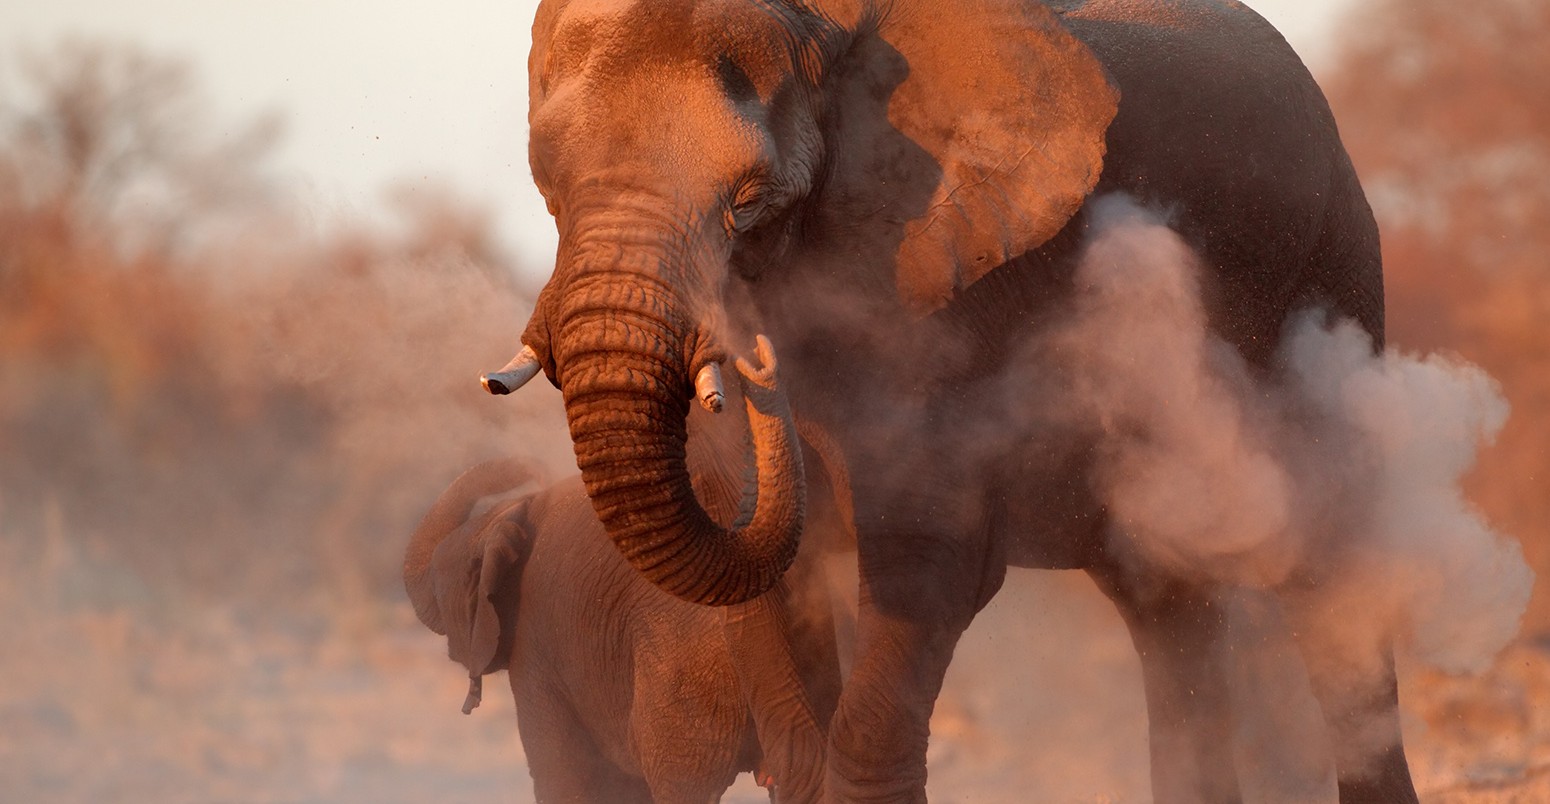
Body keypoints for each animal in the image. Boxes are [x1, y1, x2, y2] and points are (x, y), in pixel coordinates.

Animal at [399, 348, 849, 799]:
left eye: (439, 584)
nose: (533, 468)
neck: (506, 516)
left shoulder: (535, 650)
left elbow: (563, 777)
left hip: (681, 681)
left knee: (683, 783)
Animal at [483, 1, 1419, 804]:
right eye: (547, 183)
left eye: (749, 204)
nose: (756, 362)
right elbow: (771, 597)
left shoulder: (950, 287)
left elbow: (929, 562)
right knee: (1166, 604)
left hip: (1330, 277)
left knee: (1330, 577)